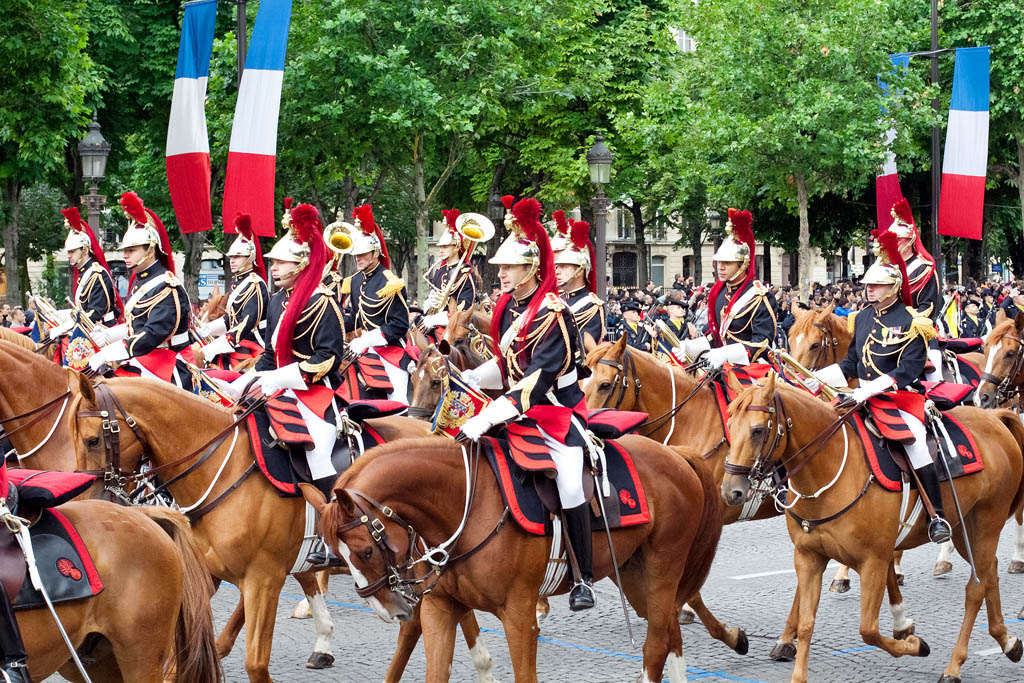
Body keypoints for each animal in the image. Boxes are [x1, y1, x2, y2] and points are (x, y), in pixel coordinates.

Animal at [62, 374, 432, 683]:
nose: (91, 501)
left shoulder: (263, 579)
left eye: (93, 440)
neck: (221, 470)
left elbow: (255, 663)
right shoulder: (212, 573)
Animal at [319, 438, 720, 683]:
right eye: (336, 555)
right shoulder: (440, 609)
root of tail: (676, 455)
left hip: (662, 570)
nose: (389, 610)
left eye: (365, 551)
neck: (466, 505)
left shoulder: (519, 617)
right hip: (637, 578)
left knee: (656, 645)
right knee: (669, 634)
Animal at [720, 374, 1024, 683]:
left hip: (986, 525)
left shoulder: (873, 561)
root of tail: (995, 419)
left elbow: (868, 630)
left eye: (758, 430)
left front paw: (915, 644)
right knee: (989, 573)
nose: (731, 491)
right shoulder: (809, 557)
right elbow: (806, 624)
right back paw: (1008, 642)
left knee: (975, 589)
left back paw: (954, 666)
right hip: (965, 530)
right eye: (729, 426)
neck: (827, 471)